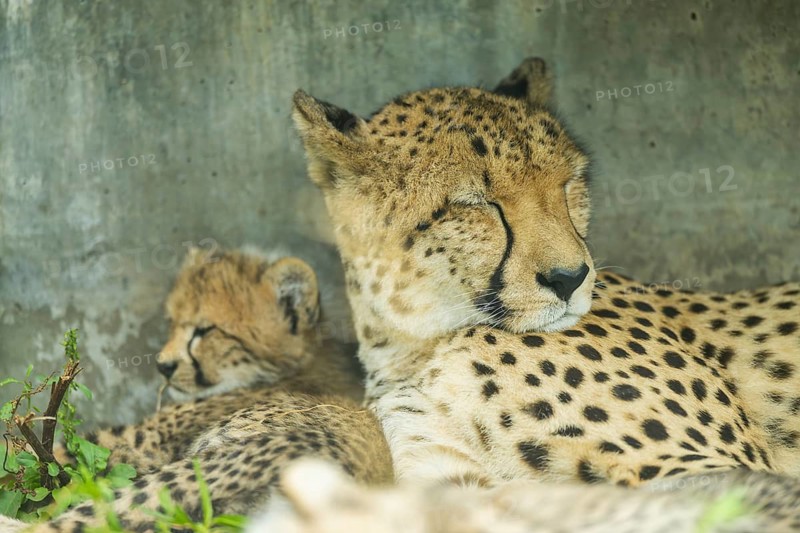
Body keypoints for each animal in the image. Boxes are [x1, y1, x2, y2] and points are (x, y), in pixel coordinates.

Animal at [286, 56, 800, 527]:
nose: (570, 277)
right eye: (476, 203)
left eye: (568, 184)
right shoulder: (453, 477)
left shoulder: (712, 467)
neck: (415, 345)